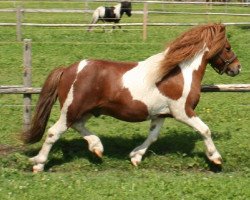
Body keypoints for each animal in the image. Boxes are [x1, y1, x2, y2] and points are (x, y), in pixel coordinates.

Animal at [22, 23, 241, 172]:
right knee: (53, 133)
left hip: (85, 110)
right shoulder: (182, 112)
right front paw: (216, 159)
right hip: (72, 108)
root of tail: (68, 69)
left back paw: (97, 147)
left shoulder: (160, 114)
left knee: (78, 126)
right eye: (228, 47)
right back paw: (38, 164)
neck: (180, 74)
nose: (237, 68)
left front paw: (135, 157)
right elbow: (204, 130)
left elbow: (152, 137)